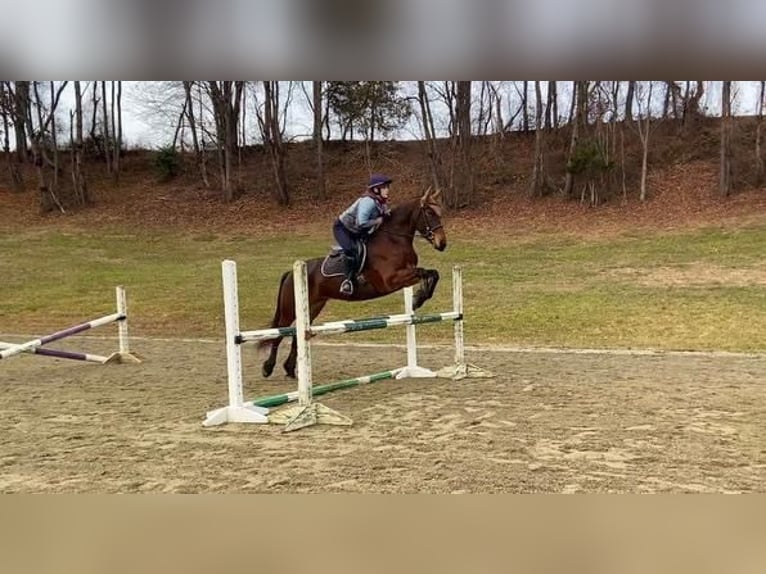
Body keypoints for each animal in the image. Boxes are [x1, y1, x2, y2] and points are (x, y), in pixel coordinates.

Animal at [258, 186, 448, 379]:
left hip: (313, 307)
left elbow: (433, 273)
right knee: (278, 334)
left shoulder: (406, 274)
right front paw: (418, 298)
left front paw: (419, 298)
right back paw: (268, 367)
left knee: (296, 334)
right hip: (289, 309)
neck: (394, 239)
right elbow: (424, 273)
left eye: (440, 212)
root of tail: (290, 273)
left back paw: (289, 369)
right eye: (430, 212)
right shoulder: (390, 280)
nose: (442, 243)